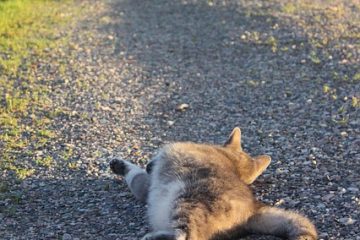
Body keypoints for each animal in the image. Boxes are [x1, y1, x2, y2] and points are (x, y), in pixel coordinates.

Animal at [108, 126, 316, 239]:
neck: (233, 162)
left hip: (189, 199)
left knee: (187, 235)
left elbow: (138, 176)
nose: (149, 165)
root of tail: (252, 210)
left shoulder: (154, 176)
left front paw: (125, 166)